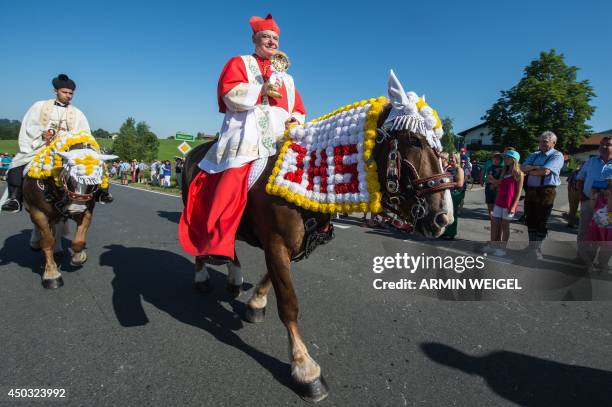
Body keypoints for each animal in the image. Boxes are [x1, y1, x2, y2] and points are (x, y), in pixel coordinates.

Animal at [182, 103, 454, 404]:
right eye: (415, 141)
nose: (444, 217)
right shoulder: (276, 244)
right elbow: (289, 304)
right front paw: (304, 369)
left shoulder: (288, 247)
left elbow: (271, 279)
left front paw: (255, 303)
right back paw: (202, 277)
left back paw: (233, 278)